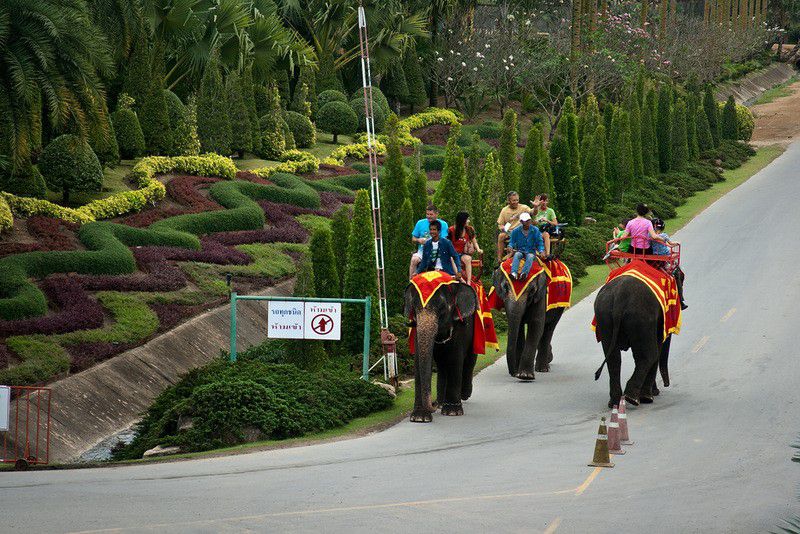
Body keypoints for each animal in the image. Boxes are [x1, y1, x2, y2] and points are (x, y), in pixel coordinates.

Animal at [404, 282, 478, 426]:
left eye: (442, 308)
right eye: (414, 309)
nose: (433, 403)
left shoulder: (460, 328)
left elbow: (455, 359)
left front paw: (452, 412)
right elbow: (418, 361)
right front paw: (419, 418)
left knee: (469, 361)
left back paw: (463, 395)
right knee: (442, 365)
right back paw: (442, 402)